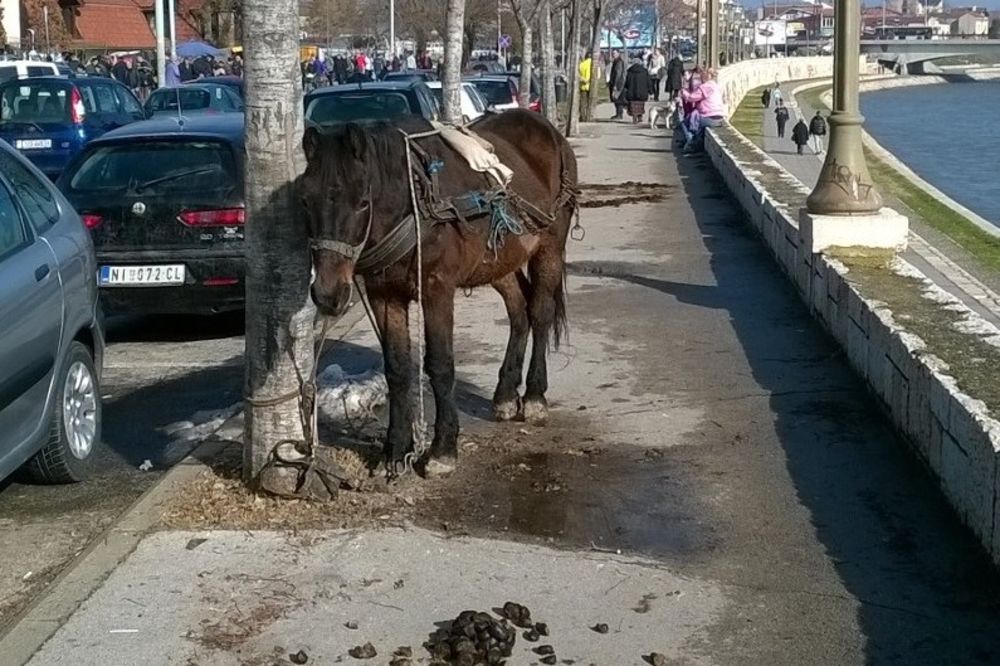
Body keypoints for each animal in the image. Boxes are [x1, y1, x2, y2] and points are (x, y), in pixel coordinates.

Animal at [298, 109, 580, 472]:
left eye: (362, 202)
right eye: (306, 200)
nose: (327, 293)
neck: (412, 204)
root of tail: (548, 130)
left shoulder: (437, 290)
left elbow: (440, 364)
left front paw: (443, 448)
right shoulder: (383, 295)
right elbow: (397, 367)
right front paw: (395, 448)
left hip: (549, 248)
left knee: (540, 314)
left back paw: (534, 396)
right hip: (499, 260)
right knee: (520, 313)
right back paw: (505, 394)